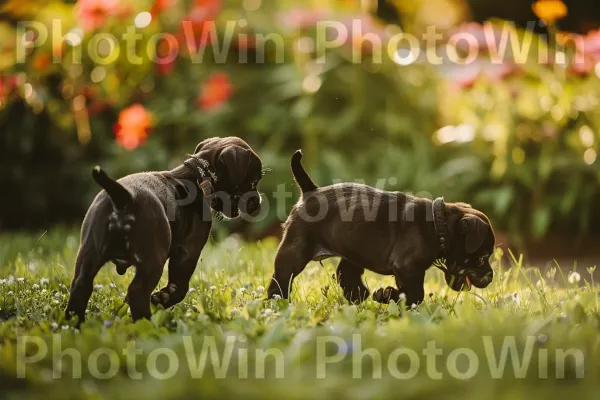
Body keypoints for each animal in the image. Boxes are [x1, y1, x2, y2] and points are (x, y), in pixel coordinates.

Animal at [66, 137, 262, 322]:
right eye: (253, 182)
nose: (257, 202)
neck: (198, 178)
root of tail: (123, 198)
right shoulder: (188, 252)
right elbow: (180, 287)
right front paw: (163, 299)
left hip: (89, 252)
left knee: (81, 285)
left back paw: (74, 324)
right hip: (153, 259)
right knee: (137, 291)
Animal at [270, 151, 494, 306]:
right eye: (482, 257)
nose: (491, 276)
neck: (440, 226)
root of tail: (310, 191)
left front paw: (387, 296)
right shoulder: (408, 268)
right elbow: (416, 294)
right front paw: (390, 297)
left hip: (352, 251)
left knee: (346, 274)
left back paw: (359, 296)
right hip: (295, 252)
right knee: (281, 278)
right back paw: (277, 302)